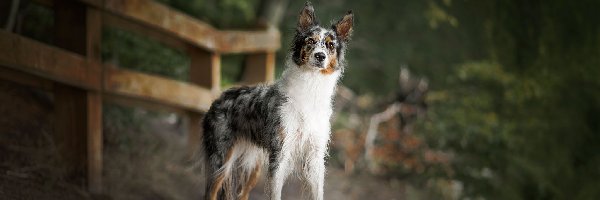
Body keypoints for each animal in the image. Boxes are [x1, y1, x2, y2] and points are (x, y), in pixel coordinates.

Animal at [203, 2, 352, 199]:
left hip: (253, 166)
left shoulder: (315, 157)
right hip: (220, 163)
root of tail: (218, 99)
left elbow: (317, 192)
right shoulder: (281, 153)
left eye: (330, 45)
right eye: (310, 41)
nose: (320, 56)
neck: (311, 88)